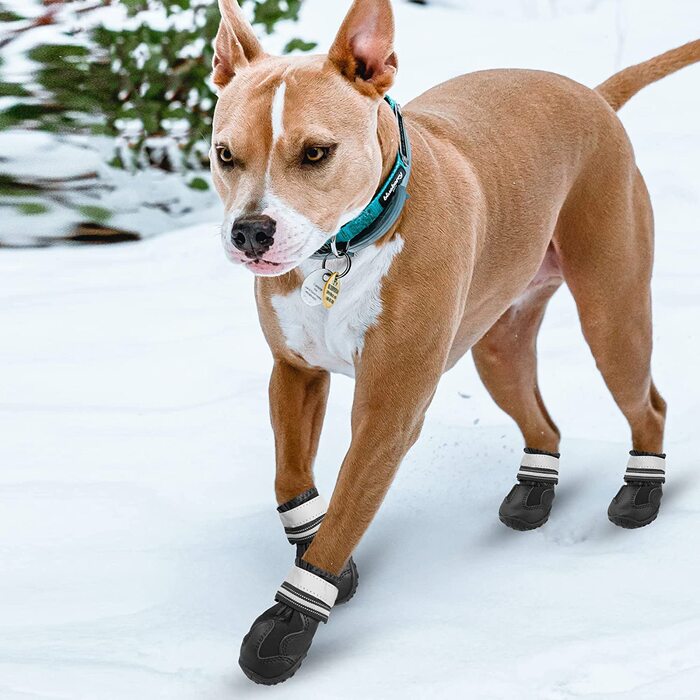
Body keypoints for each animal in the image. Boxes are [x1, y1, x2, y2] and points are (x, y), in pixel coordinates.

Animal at [209, 0, 700, 684]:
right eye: (225, 154)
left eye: (315, 153)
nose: (251, 231)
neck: (344, 250)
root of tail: (594, 95)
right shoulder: (294, 372)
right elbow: (290, 478)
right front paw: (324, 551)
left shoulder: (388, 414)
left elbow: (347, 511)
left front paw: (291, 622)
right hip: (499, 342)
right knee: (542, 420)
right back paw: (533, 491)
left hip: (612, 316)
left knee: (647, 404)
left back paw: (641, 493)